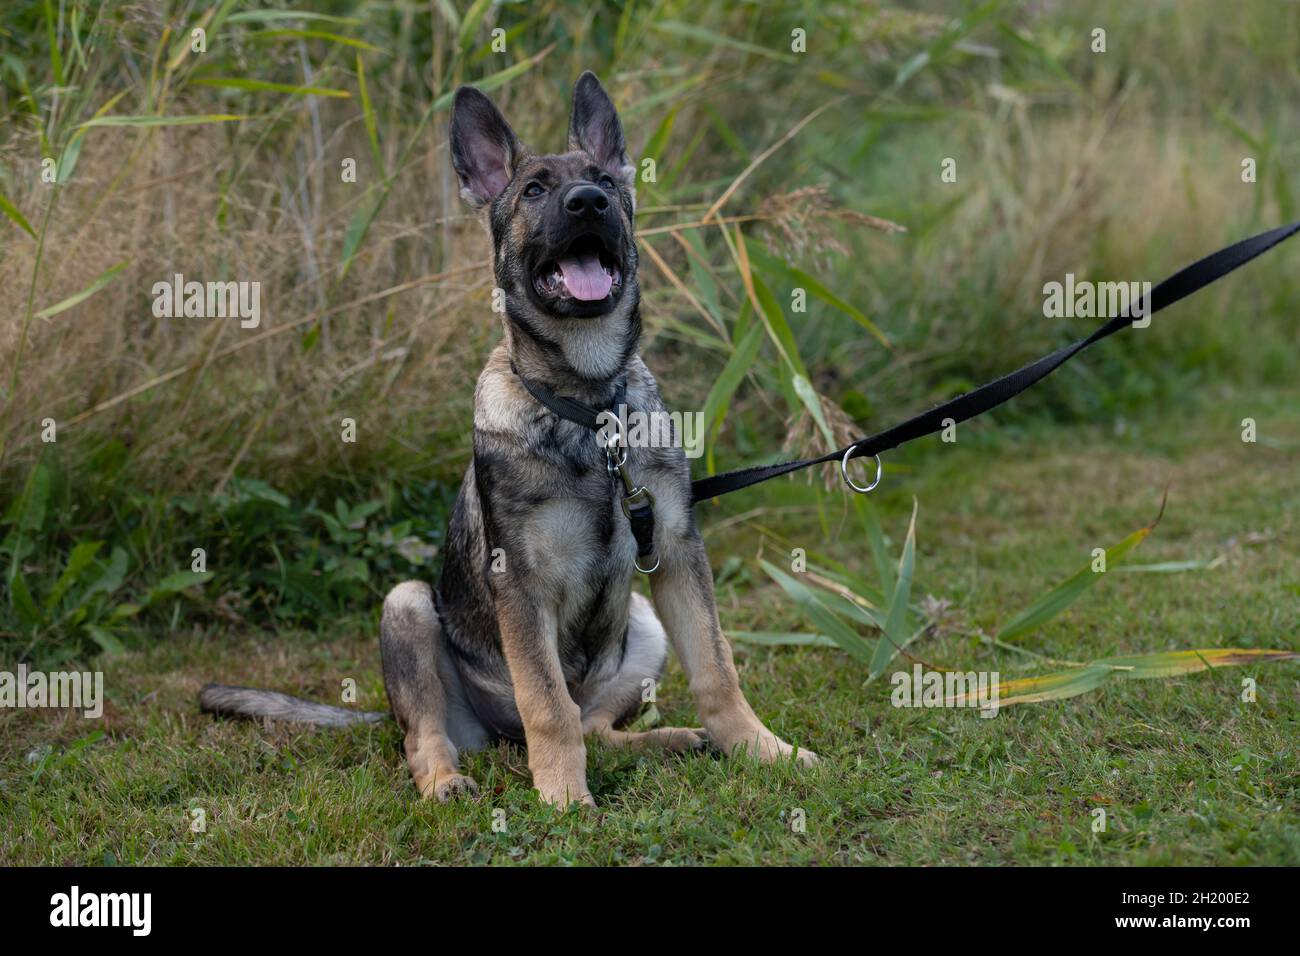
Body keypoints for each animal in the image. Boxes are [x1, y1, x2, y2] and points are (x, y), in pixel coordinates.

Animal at [200, 70, 811, 806]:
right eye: (535, 191)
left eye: (603, 179)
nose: (588, 203)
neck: (587, 408)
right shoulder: (519, 582)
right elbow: (546, 702)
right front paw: (564, 799)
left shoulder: (674, 547)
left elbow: (718, 672)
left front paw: (765, 751)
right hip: (408, 608)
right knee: (432, 733)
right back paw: (446, 780)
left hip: (641, 622)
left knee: (597, 722)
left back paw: (666, 741)